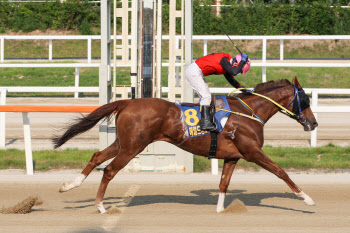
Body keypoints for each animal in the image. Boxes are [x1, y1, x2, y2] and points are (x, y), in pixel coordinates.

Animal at [53, 76, 318, 213]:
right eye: (304, 99)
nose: (313, 123)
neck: (249, 112)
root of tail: (127, 103)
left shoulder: (233, 156)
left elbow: (223, 183)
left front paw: (220, 210)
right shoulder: (252, 152)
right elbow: (281, 171)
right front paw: (307, 199)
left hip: (123, 143)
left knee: (97, 157)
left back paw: (69, 186)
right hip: (131, 148)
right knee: (108, 170)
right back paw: (100, 206)